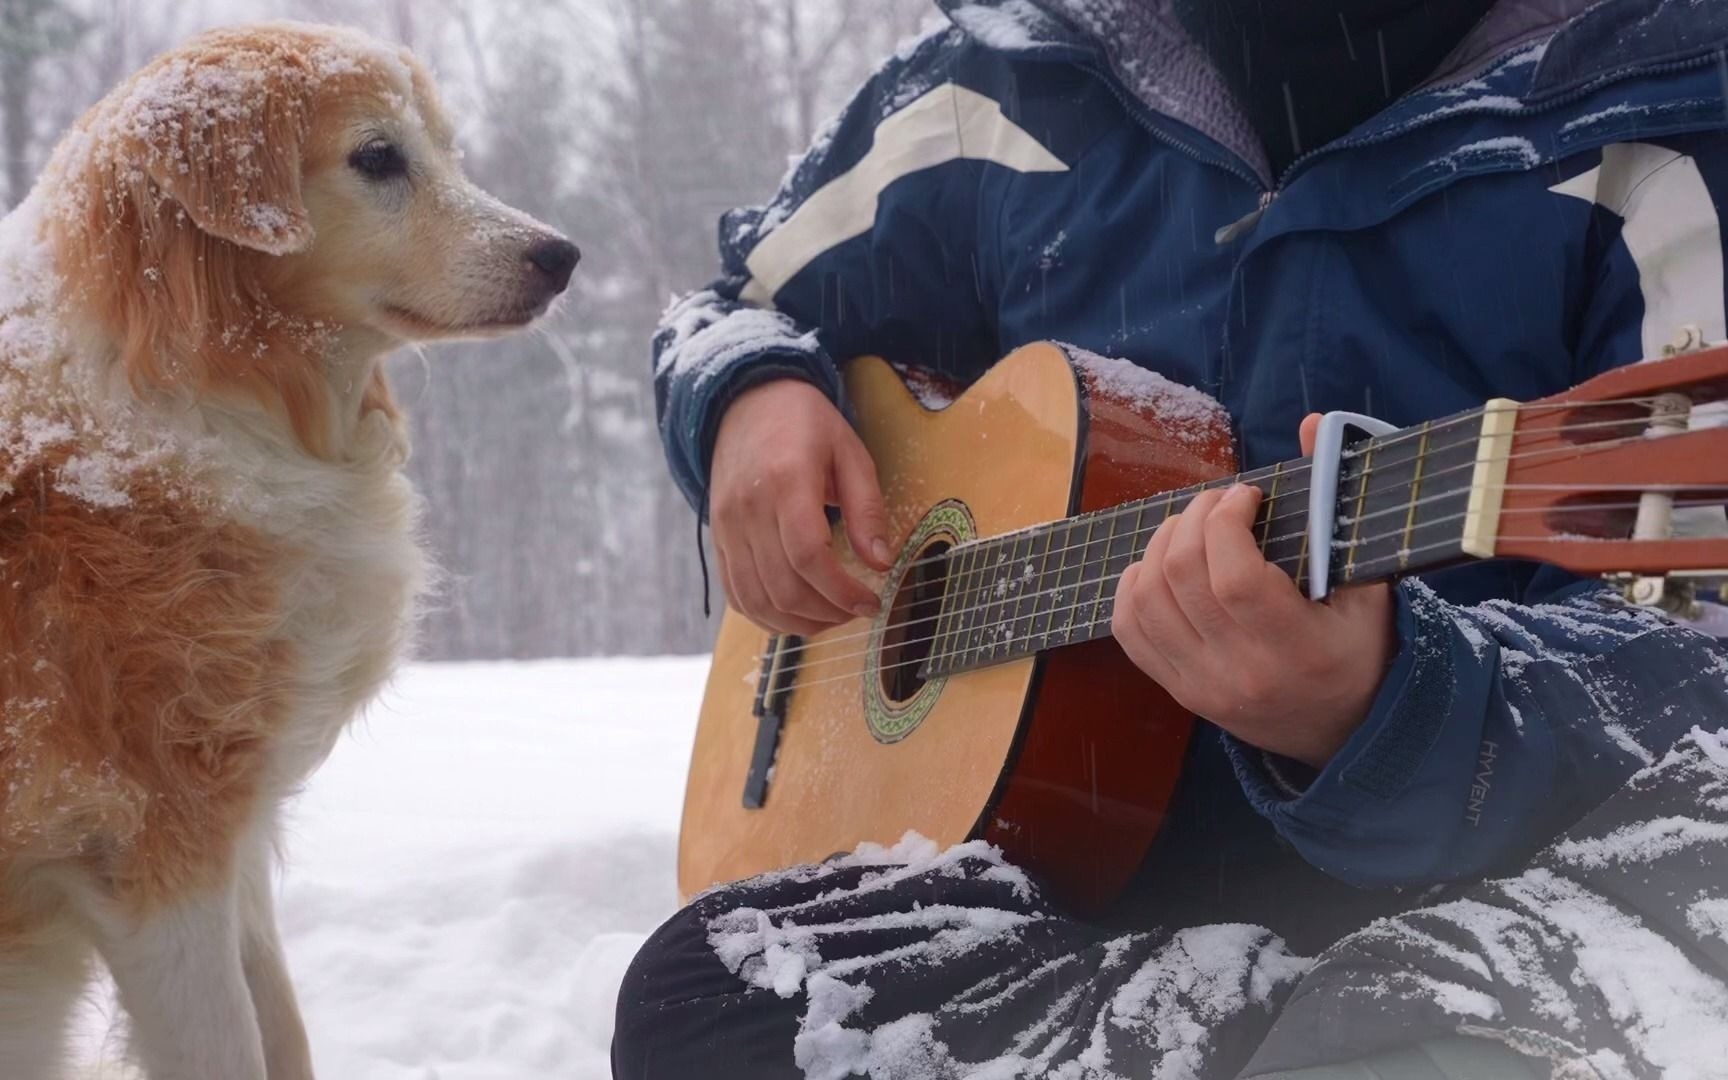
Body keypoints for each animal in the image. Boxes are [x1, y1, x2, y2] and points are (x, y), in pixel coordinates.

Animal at [0, 21, 577, 1071]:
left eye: (446, 151)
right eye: (378, 158)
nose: (562, 255)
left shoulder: (239, 847)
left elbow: (282, 1026)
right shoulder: (160, 861)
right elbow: (232, 1044)